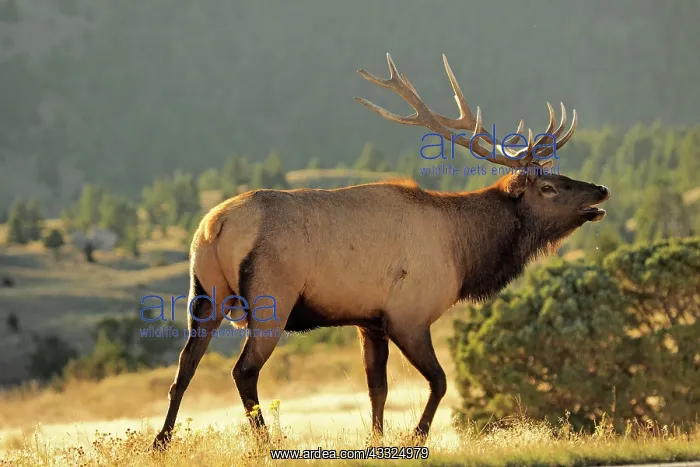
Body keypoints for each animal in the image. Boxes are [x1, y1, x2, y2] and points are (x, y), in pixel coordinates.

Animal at [152, 53, 609, 450]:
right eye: (549, 187)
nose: (601, 190)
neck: (464, 255)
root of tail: (214, 227)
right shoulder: (409, 314)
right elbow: (439, 381)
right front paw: (414, 436)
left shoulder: (369, 321)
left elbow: (378, 388)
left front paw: (377, 439)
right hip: (271, 298)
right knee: (243, 371)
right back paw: (267, 441)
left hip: (204, 293)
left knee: (184, 367)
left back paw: (162, 441)